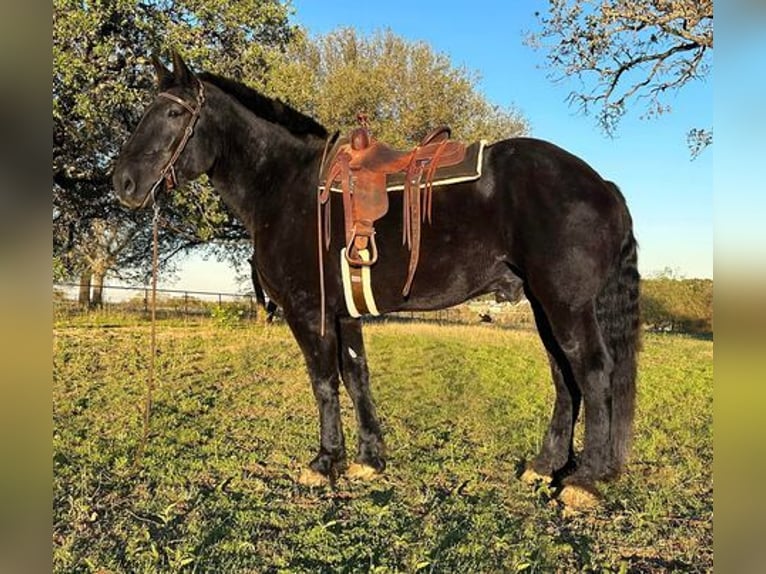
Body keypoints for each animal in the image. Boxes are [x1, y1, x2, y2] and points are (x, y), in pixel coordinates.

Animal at [114, 50, 640, 508]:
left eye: (174, 113)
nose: (123, 183)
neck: (286, 187)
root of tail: (601, 185)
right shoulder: (344, 313)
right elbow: (356, 377)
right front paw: (369, 460)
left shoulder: (309, 311)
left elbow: (324, 382)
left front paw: (325, 462)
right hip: (544, 307)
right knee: (564, 378)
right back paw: (545, 466)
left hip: (565, 306)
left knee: (594, 373)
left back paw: (584, 481)